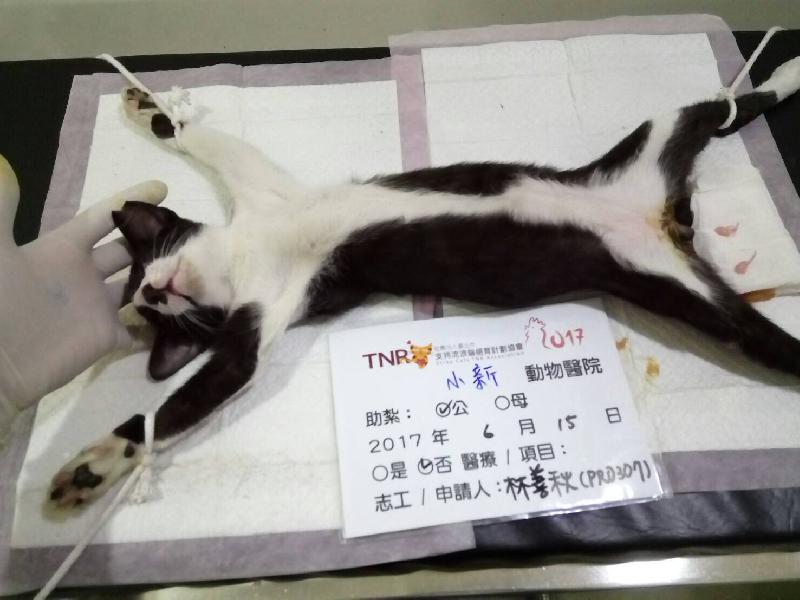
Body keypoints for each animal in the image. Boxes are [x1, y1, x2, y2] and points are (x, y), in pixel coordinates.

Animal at [48, 56, 800, 508]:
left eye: (150, 257)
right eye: (159, 316)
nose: (152, 292)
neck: (242, 250)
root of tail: (670, 216)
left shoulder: (262, 189)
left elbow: (202, 140)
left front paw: (144, 106)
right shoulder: (255, 323)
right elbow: (206, 385)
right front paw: (99, 462)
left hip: (649, 143)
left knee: (720, 106)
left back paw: (787, 71)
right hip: (685, 286)